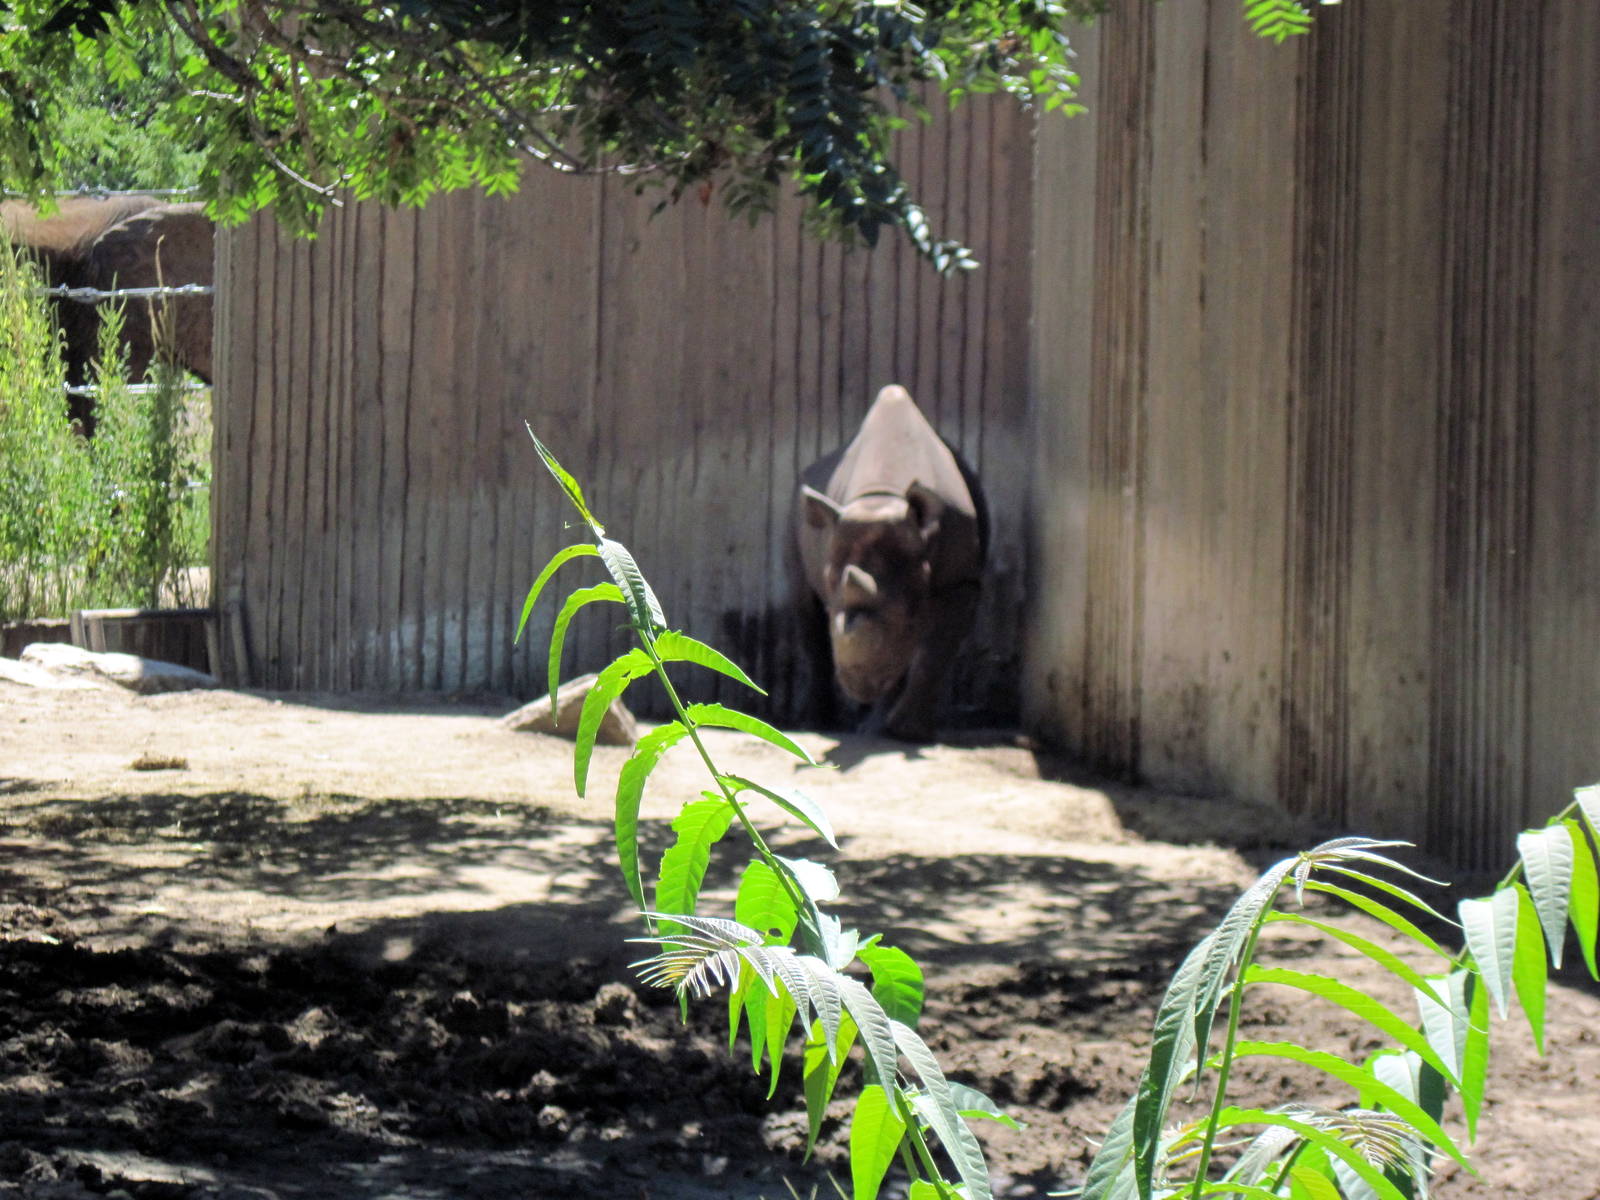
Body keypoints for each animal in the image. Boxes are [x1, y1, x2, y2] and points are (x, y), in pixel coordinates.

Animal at [796, 385, 988, 742]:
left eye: (910, 616)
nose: (857, 684)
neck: (881, 499)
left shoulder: (961, 579)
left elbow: (933, 651)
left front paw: (908, 733)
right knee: (804, 607)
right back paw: (814, 724)